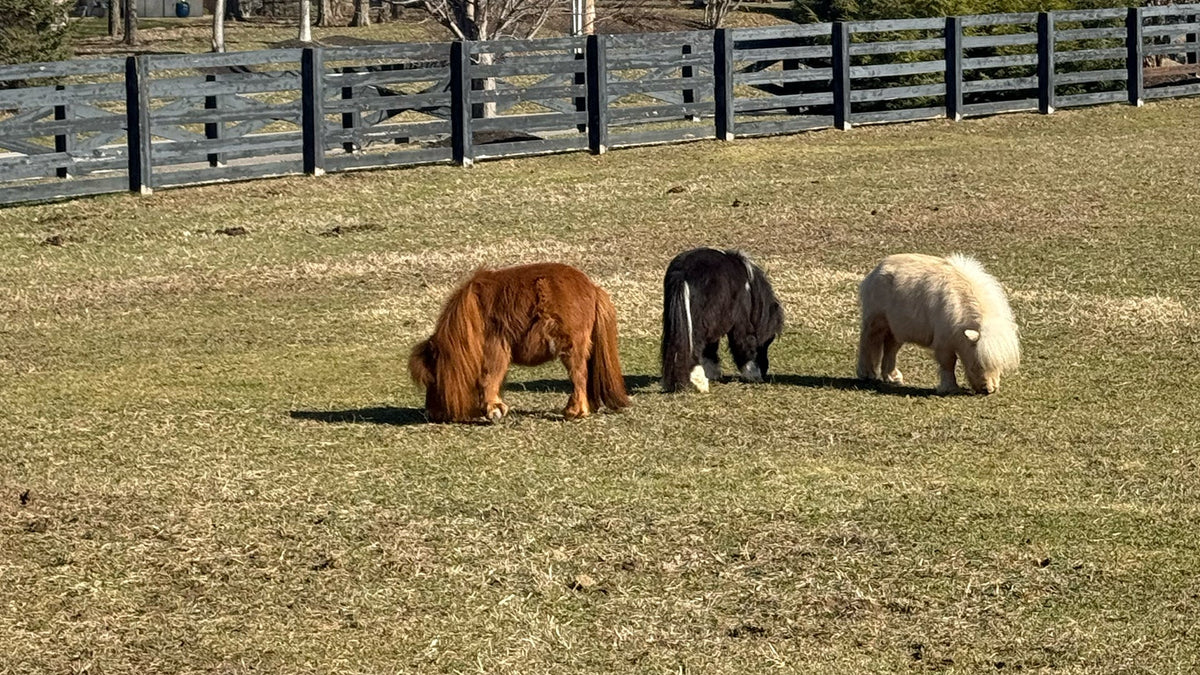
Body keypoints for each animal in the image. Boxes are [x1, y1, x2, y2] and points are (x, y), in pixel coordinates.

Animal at [408, 263, 631, 423]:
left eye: (432, 379)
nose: (431, 414)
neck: (474, 316)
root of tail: (593, 288)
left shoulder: (495, 348)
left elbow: (489, 377)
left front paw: (493, 410)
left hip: (571, 349)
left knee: (579, 376)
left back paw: (573, 411)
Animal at [661, 248, 784, 393]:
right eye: (768, 341)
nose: (764, 371)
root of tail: (682, 273)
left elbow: (710, 349)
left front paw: (713, 373)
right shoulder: (741, 322)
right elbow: (744, 341)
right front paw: (752, 374)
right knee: (695, 345)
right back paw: (700, 383)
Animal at [857, 253, 1020, 395]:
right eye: (978, 365)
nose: (988, 390)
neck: (961, 302)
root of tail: (876, 269)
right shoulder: (944, 342)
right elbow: (948, 363)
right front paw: (950, 388)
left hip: (898, 327)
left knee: (891, 347)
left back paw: (893, 377)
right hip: (877, 320)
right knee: (869, 341)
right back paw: (867, 373)